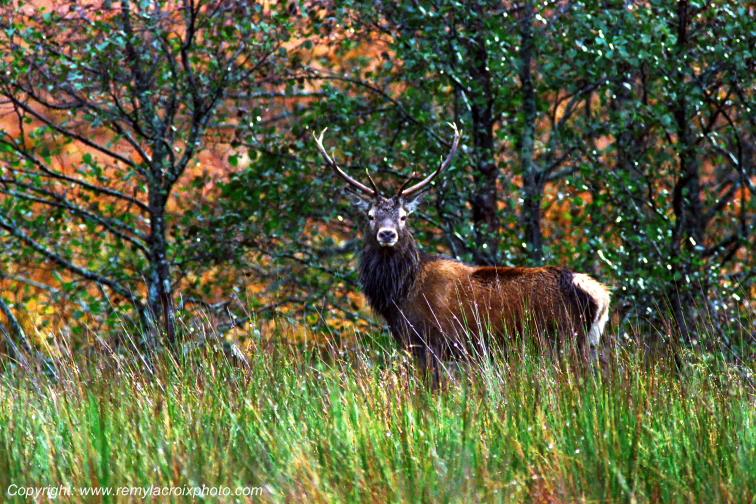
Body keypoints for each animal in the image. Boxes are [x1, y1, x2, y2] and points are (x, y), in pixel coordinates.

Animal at [313, 123, 611, 374]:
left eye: (404, 217)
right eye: (371, 216)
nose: (387, 234)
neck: (400, 294)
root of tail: (601, 295)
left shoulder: (433, 342)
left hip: (566, 339)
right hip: (588, 342)